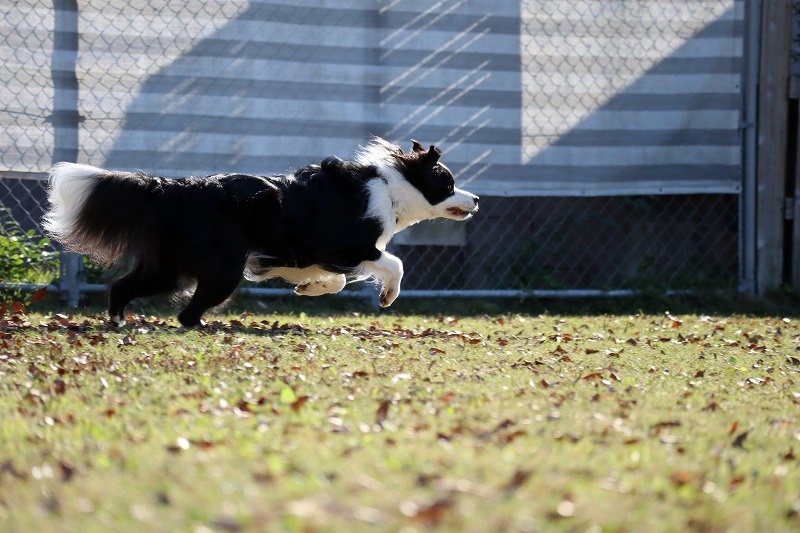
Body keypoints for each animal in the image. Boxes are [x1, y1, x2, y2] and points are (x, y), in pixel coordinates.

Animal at [42, 138, 479, 327]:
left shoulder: (305, 253)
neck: (391, 187)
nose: (476, 200)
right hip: (221, 270)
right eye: (447, 182)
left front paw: (308, 288)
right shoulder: (349, 245)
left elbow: (334, 280)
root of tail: (173, 188)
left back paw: (119, 321)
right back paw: (201, 325)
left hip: (171, 267)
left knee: (123, 286)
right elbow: (394, 264)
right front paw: (388, 296)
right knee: (186, 312)